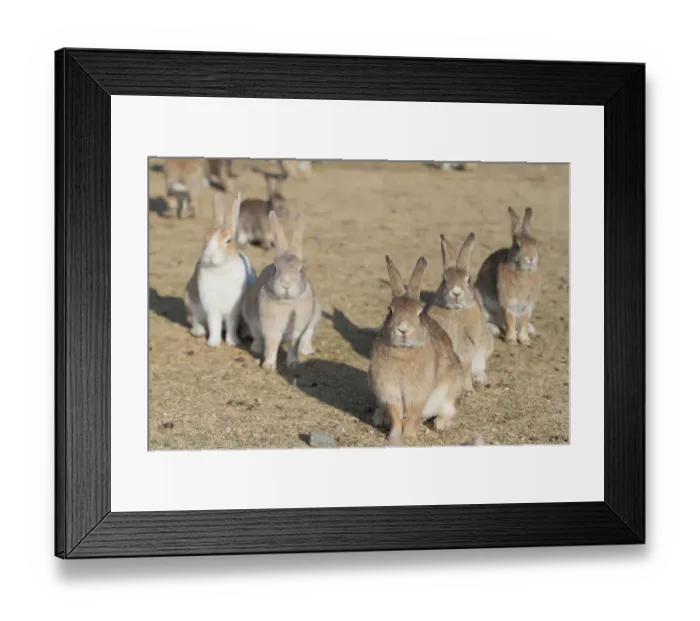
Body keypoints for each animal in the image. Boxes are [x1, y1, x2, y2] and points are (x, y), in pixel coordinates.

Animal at [184, 191, 256, 347]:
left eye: (228, 241)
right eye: (205, 238)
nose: (210, 256)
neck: (220, 268)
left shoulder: (233, 310)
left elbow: (231, 325)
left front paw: (232, 342)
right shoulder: (212, 307)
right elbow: (214, 324)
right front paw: (213, 343)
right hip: (190, 301)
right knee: (195, 320)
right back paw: (199, 331)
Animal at [241, 210, 321, 371]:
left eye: (300, 269)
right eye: (276, 267)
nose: (285, 284)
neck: (287, 302)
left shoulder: (297, 327)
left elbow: (293, 344)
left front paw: (294, 363)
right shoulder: (271, 326)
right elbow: (271, 344)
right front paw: (269, 366)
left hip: (316, 314)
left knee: (308, 334)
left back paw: (306, 349)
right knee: (256, 335)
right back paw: (256, 347)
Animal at [368, 255, 466, 446]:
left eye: (419, 314)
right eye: (390, 311)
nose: (403, 329)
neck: (404, 351)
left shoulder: (417, 393)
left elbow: (413, 413)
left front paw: (409, 438)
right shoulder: (390, 391)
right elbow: (396, 414)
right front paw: (394, 437)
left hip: (452, 390)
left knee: (449, 410)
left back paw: (441, 423)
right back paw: (380, 417)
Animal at [426, 232, 495, 391]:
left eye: (468, 279)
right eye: (444, 279)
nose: (456, 292)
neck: (456, 311)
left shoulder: (469, 347)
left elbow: (466, 368)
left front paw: (468, 390)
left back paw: (479, 379)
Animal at [475, 206, 542, 345]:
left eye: (536, 243)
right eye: (517, 246)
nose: (531, 258)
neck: (523, 272)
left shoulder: (527, 304)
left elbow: (523, 320)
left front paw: (525, 340)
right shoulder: (507, 301)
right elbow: (510, 319)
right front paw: (511, 340)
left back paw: (530, 329)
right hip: (479, 300)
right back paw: (494, 330)